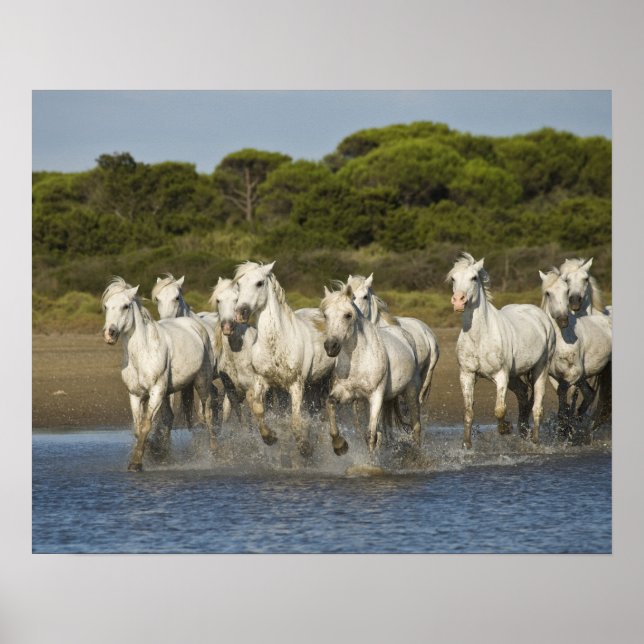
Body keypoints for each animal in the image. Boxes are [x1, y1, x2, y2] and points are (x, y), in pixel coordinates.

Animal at [102, 277, 217, 471]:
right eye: (106, 306)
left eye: (126, 306)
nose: (109, 334)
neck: (143, 352)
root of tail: (196, 326)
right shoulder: (135, 395)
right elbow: (138, 428)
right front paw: (155, 451)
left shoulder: (156, 392)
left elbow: (146, 425)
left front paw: (136, 463)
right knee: (169, 418)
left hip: (202, 383)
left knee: (208, 414)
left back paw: (214, 451)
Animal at [233, 261, 335, 456]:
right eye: (238, 285)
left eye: (259, 283)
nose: (240, 313)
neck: (276, 344)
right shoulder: (261, 381)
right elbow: (258, 408)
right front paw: (270, 437)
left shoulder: (296, 385)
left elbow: (295, 421)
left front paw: (305, 448)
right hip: (309, 386)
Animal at [320, 282, 421, 453]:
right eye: (326, 315)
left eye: (348, 315)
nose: (331, 346)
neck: (359, 361)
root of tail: (405, 334)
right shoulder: (347, 393)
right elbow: (330, 403)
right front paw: (340, 445)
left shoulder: (375, 396)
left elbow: (371, 436)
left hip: (411, 391)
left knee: (416, 426)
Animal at [448, 253, 555, 449]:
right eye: (453, 278)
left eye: (474, 278)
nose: (458, 300)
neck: (480, 337)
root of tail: (540, 315)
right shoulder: (467, 374)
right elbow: (468, 412)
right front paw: (467, 445)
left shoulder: (501, 375)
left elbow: (499, 409)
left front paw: (505, 429)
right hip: (514, 375)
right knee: (523, 395)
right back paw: (523, 432)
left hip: (540, 368)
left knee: (537, 407)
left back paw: (535, 440)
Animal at [540, 268, 612, 442]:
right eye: (548, 293)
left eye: (566, 291)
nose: (563, 320)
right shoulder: (554, 376)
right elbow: (564, 398)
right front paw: (564, 430)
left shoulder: (573, 375)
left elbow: (565, 396)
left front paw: (565, 430)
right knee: (590, 394)